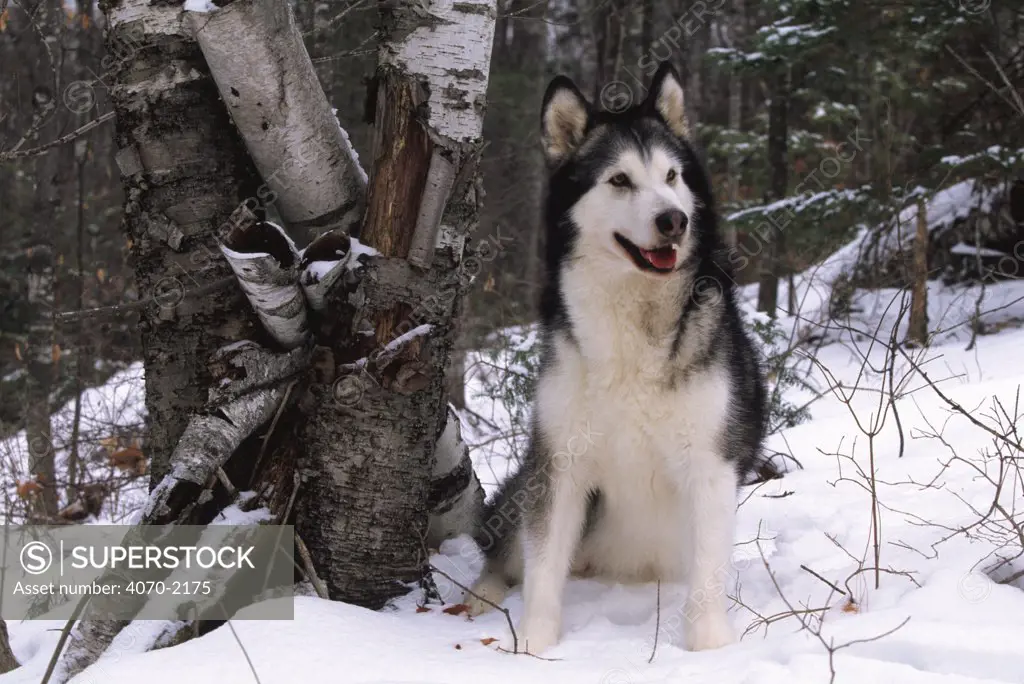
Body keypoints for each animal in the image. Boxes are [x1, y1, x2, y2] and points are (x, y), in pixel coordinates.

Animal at [464, 65, 770, 655]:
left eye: (672, 176)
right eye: (620, 180)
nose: (674, 220)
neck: (637, 320)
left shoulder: (711, 465)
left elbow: (709, 571)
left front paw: (709, 646)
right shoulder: (560, 463)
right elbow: (542, 568)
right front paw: (533, 646)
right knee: (503, 552)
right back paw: (480, 596)